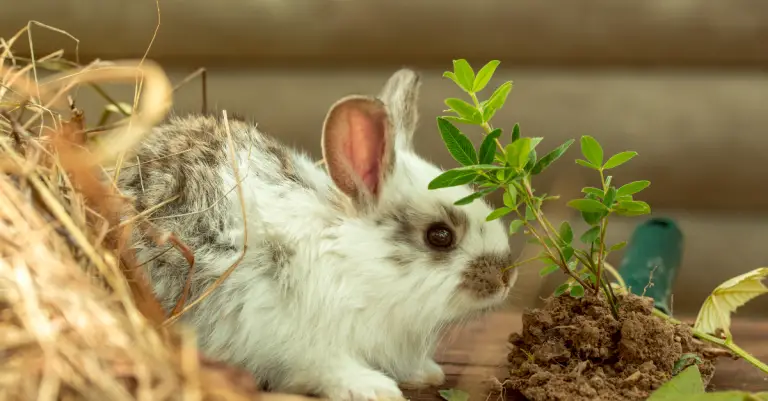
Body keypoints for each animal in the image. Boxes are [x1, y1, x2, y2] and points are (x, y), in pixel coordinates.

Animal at [118, 69, 516, 400]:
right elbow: (328, 369)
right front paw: (375, 389)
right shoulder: (300, 344)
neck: (355, 266)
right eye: (440, 236)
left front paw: (427, 374)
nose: (506, 277)